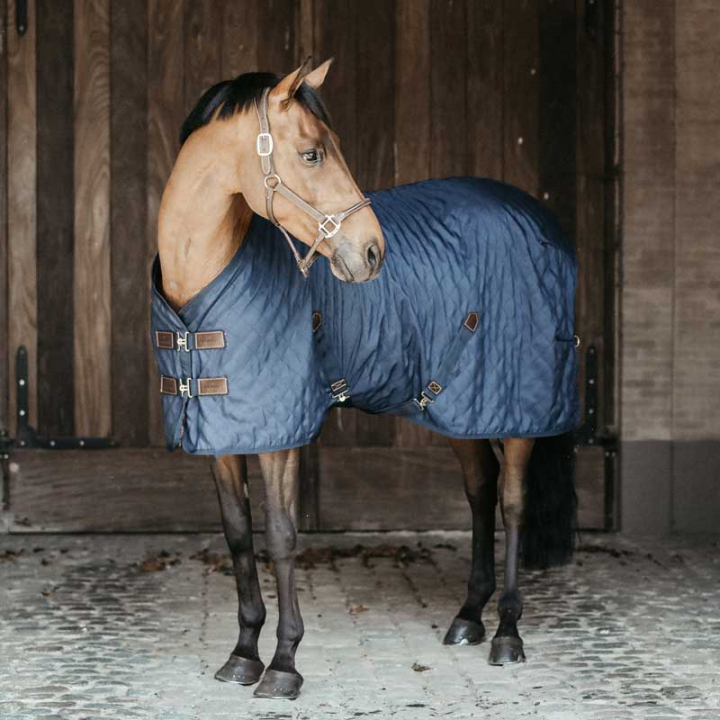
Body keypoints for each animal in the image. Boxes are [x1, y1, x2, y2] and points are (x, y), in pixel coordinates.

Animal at [152, 59, 579, 700]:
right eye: (311, 154)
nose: (373, 252)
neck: (198, 291)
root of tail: (541, 221)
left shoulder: (281, 435)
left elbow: (281, 536)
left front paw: (283, 664)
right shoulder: (222, 435)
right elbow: (238, 536)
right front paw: (243, 653)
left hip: (516, 409)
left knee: (511, 504)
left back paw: (506, 632)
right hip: (458, 405)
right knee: (479, 492)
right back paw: (468, 618)